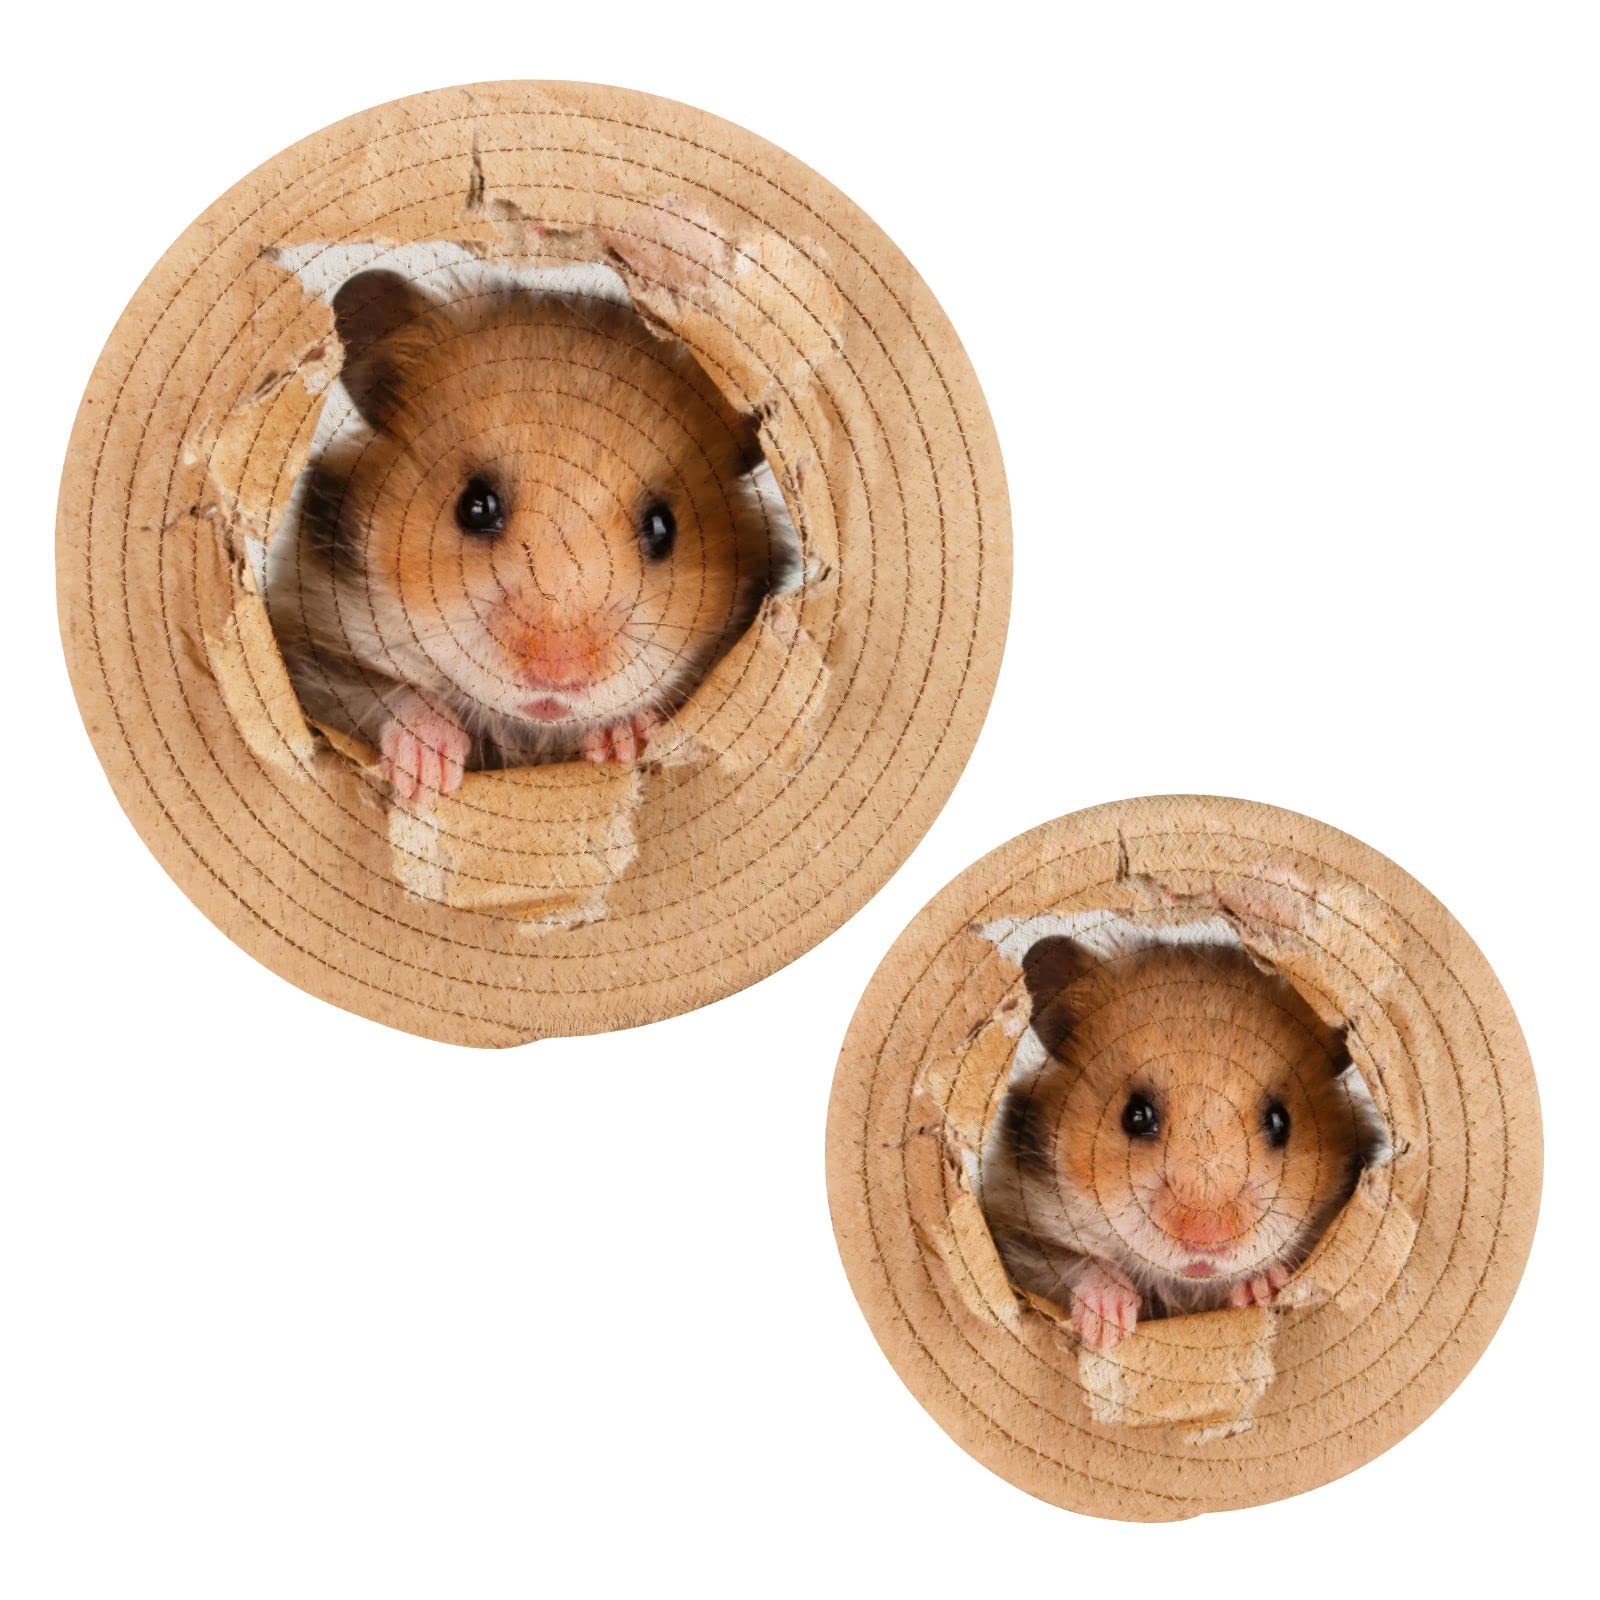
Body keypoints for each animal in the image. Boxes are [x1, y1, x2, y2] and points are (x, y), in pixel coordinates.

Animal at [268, 269, 784, 801]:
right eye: (475, 506)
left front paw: (621, 741)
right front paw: (428, 775)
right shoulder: (310, 655)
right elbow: (387, 694)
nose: (557, 678)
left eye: (664, 528)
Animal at [979, 936, 1384, 1350]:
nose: (1207, 1241)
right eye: (1135, 1115)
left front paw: (1261, 1289)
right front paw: (1108, 1326)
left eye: (1279, 1121)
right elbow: (1075, 1263)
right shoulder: (1016, 1235)